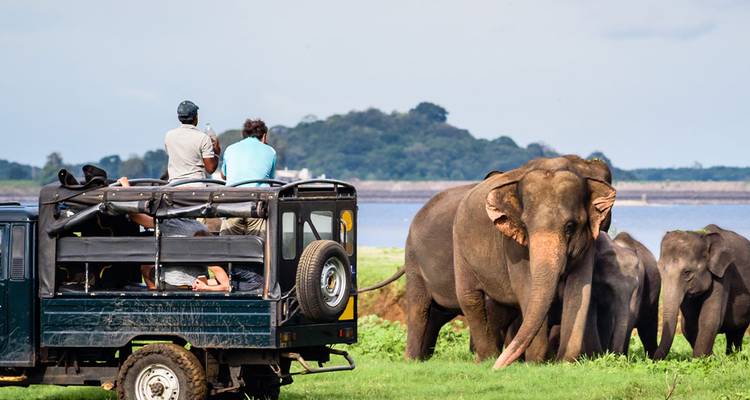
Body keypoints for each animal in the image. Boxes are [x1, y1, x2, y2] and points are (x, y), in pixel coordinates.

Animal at [452, 156, 616, 368]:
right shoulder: (513, 246)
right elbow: (527, 289)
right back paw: (487, 359)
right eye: (525, 225)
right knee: (469, 298)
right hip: (459, 248)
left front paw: (564, 362)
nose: (498, 369)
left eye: (570, 226)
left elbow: (579, 290)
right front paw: (535, 363)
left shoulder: (588, 242)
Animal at [654, 224, 750, 359]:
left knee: (738, 332)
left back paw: (734, 357)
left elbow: (709, 318)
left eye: (687, 272)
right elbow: (688, 325)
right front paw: (709, 357)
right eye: (659, 270)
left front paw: (703, 359)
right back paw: (730, 356)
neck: (704, 236)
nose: (651, 358)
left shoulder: (723, 274)